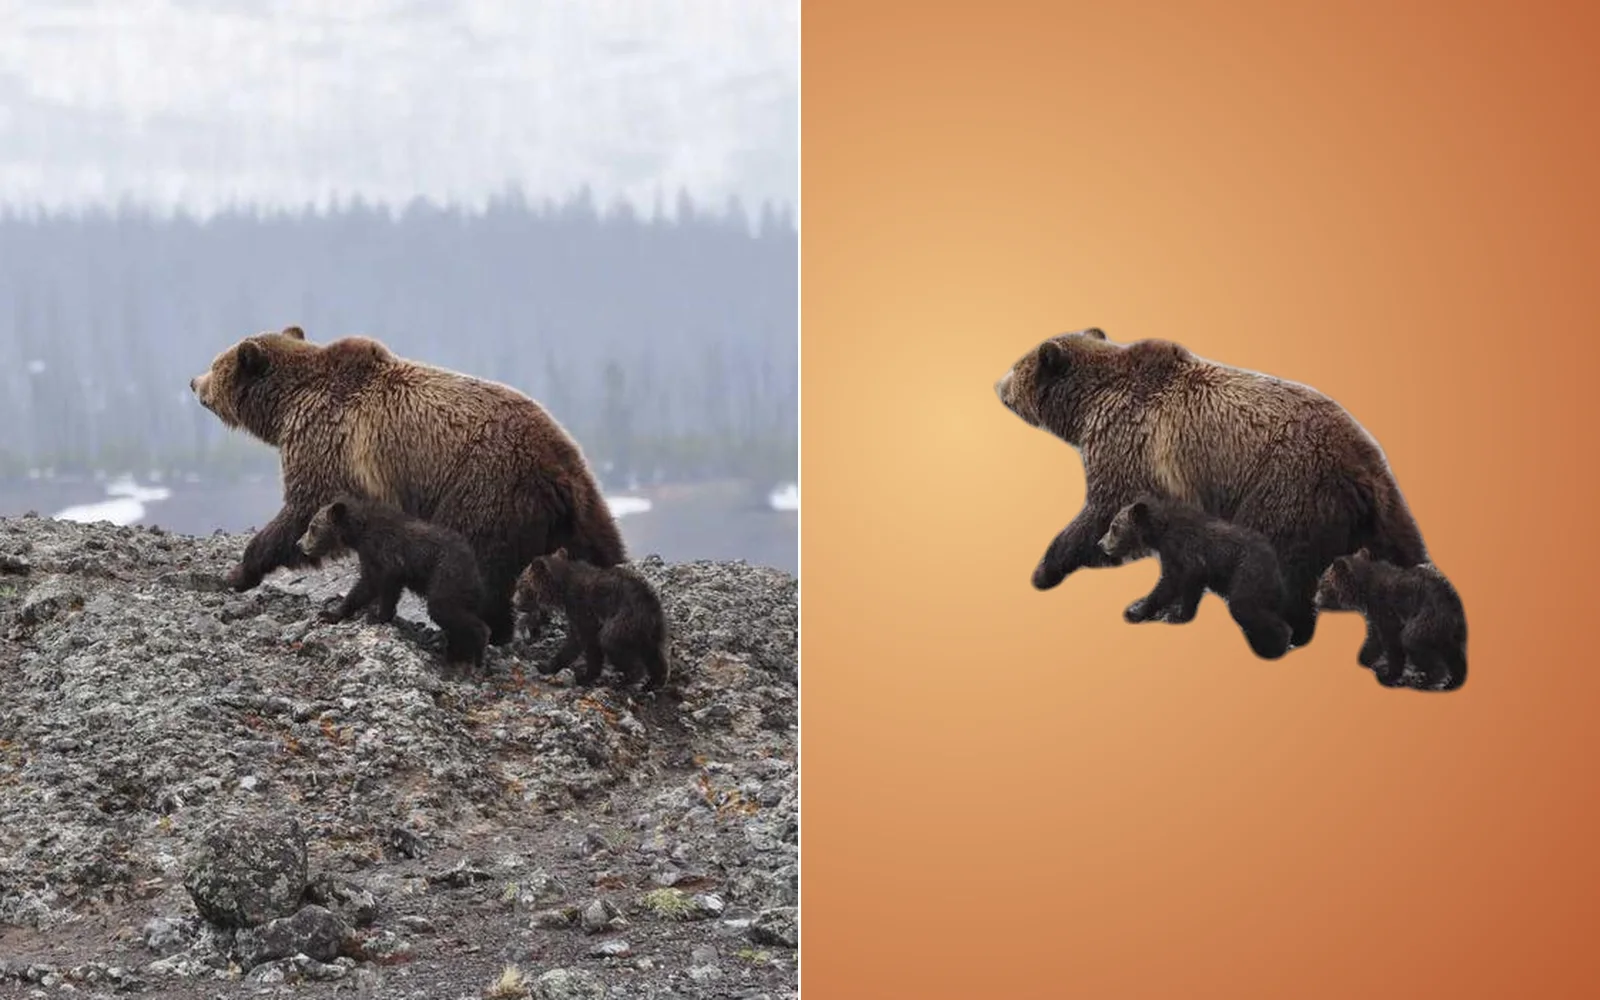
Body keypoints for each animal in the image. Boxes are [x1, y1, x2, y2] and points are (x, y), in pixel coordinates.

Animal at [188, 324, 626, 653]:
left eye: (215, 363)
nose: (193, 381)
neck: (287, 406)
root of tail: (559, 470)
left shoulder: (327, 444)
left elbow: (302, 510)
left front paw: (239, 571)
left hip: (485, 489)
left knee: (480, 566)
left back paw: (483, 630)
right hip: (582, 507)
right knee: (604, 552)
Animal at [297, 495, 490, 671]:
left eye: (312, 527)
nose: (299, 544)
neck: (359, 532)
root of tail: (474, 567)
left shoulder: (384, 551)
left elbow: (380, 583)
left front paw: (376, 616)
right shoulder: (373, 557)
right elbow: (368, 587)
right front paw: (331, 614)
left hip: (447, 575)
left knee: (443, 608)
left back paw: (477, 654)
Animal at [512, 547, 672, 690]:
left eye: (520, 585)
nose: (513, 602)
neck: (562, 588)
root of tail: (651, 605)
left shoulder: (581, 608)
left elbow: (582, 640)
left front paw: (553, 668)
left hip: (624, 620)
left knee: (611, 642)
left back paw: (625, 680)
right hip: (652, 630)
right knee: (654, 653)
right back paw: (653, 682)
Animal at [1098, 495, 1294, 660]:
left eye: (1114, 527)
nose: (1100, 543)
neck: (1159, 532)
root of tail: (1275, 563)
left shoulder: (1184, 550)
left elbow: (1174, 582)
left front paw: (1143, 613)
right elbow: (1177, 587)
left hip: (1248, 573)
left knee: (1245, 606)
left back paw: (1276, 647)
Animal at [1313, 551, 1468, 690]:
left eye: (1322, 584)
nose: (1315, 602)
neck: (1362, 593)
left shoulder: (1385, 611)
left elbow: (1391, 643)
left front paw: (1388, 676)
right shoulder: (1373, 617)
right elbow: (1374, 642)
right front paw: (1362, 660)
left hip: (1427, 618)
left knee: (1413, 642)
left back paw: (1426, 681)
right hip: (1447, 630)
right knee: (1454, 654)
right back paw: (1453, 682)